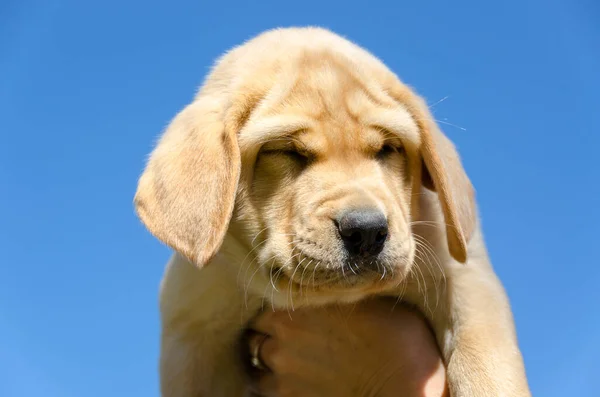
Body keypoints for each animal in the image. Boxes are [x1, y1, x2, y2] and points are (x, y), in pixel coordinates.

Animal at [135, 27, 528, 396]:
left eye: (388, 149)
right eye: (287, 151)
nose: (367, 232)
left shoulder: (468, 283)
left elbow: (488, 370)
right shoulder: (193, 334)